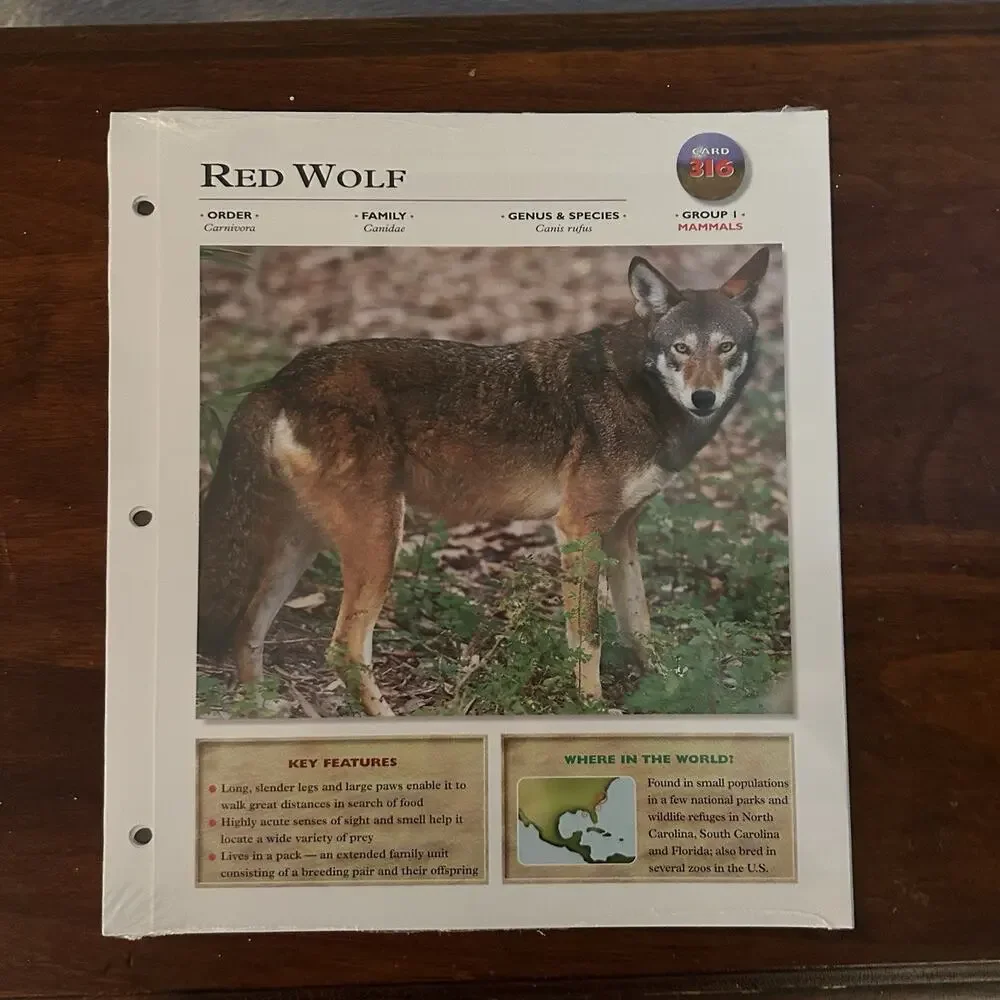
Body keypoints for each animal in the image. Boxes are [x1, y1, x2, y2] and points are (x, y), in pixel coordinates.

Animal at [197, 247, 770, 716]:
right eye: (680, 349)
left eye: (724, 348)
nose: (703, 398)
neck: (640, 394)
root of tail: (280, 380)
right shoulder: (577, 528)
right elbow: (589, 638)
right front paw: (591, 707)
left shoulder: (621, 532)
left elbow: (641, 629)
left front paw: (671, 692)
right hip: (378, 541)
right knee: (342, 649)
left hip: (304, 545)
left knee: (247, 629)